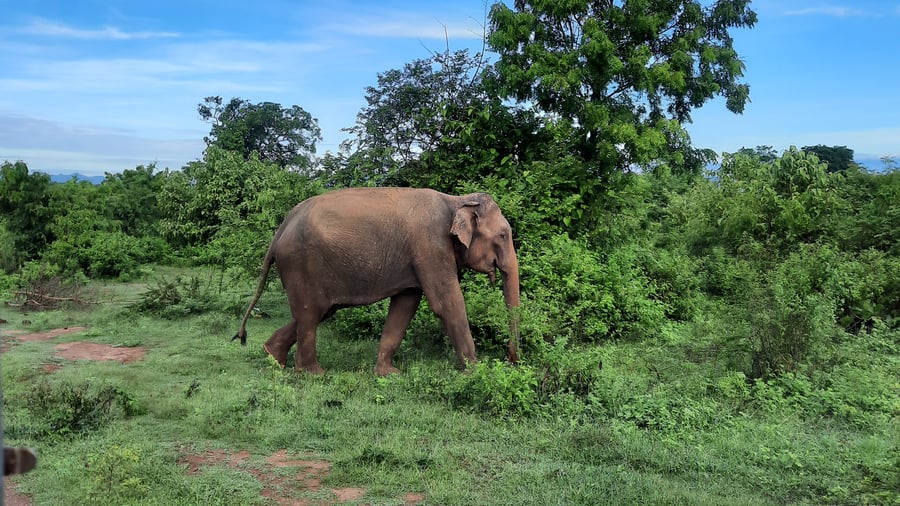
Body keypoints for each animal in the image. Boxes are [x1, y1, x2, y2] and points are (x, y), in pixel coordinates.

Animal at [232, 187, 520, 376]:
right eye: (503, 235)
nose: (511, 362)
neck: (456, 200)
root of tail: (281, 228)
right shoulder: (430, 246)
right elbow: (446, 303)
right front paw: (476, 372)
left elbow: (405, 305)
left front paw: (388, 373)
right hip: (300, 264)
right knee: (311, 313)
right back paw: (313, 373)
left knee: (319, 312)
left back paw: (273, 357)